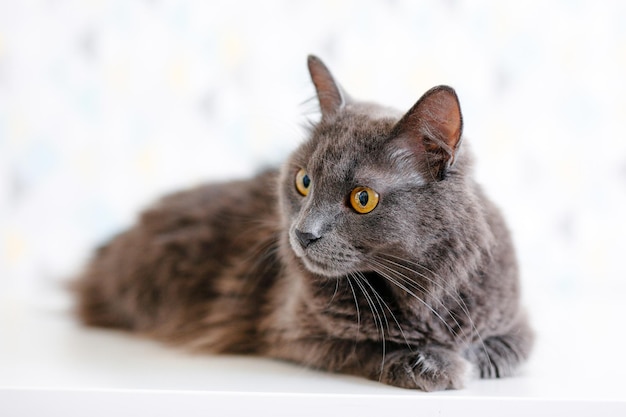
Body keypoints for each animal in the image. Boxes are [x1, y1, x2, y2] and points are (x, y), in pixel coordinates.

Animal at [73, 55, 532, 390]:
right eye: (304, 181)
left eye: (362, 199)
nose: (303, 234)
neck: (415, 289)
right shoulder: (290, 331)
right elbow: (372, 348)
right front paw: (439, 363)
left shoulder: (519, 326)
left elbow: (504, 350)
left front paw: (466, 356)